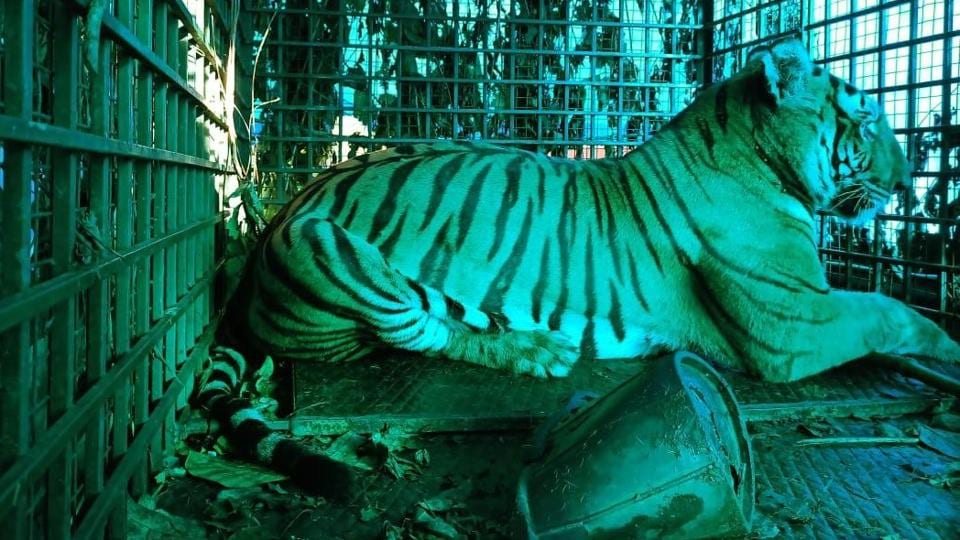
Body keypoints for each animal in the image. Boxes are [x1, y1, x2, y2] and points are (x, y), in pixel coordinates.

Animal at [201, 38, 960, 498]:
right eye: (868, 119)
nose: (910, 173)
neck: (763, 156)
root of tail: (273, 219)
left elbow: (889, 311)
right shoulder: (793, 322)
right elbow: (893, 311)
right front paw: (952, 348)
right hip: (329, 248)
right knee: (421, 329)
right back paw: (536, 350)